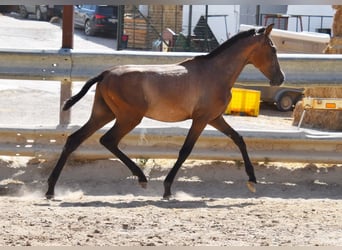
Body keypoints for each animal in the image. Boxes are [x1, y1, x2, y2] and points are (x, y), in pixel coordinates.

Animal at [46, 23, 286, 199]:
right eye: (273, 49)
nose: (280, 79)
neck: (215, 72)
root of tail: (105, 73)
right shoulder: (201, 119)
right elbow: (185, 151)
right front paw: (168, 189)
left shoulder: (215, 118)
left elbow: (239, 139)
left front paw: (252, 181)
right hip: (128, 118)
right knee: (108, 140)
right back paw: (141, 179)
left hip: (104, 114)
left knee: (74, 139)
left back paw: (50, 189)